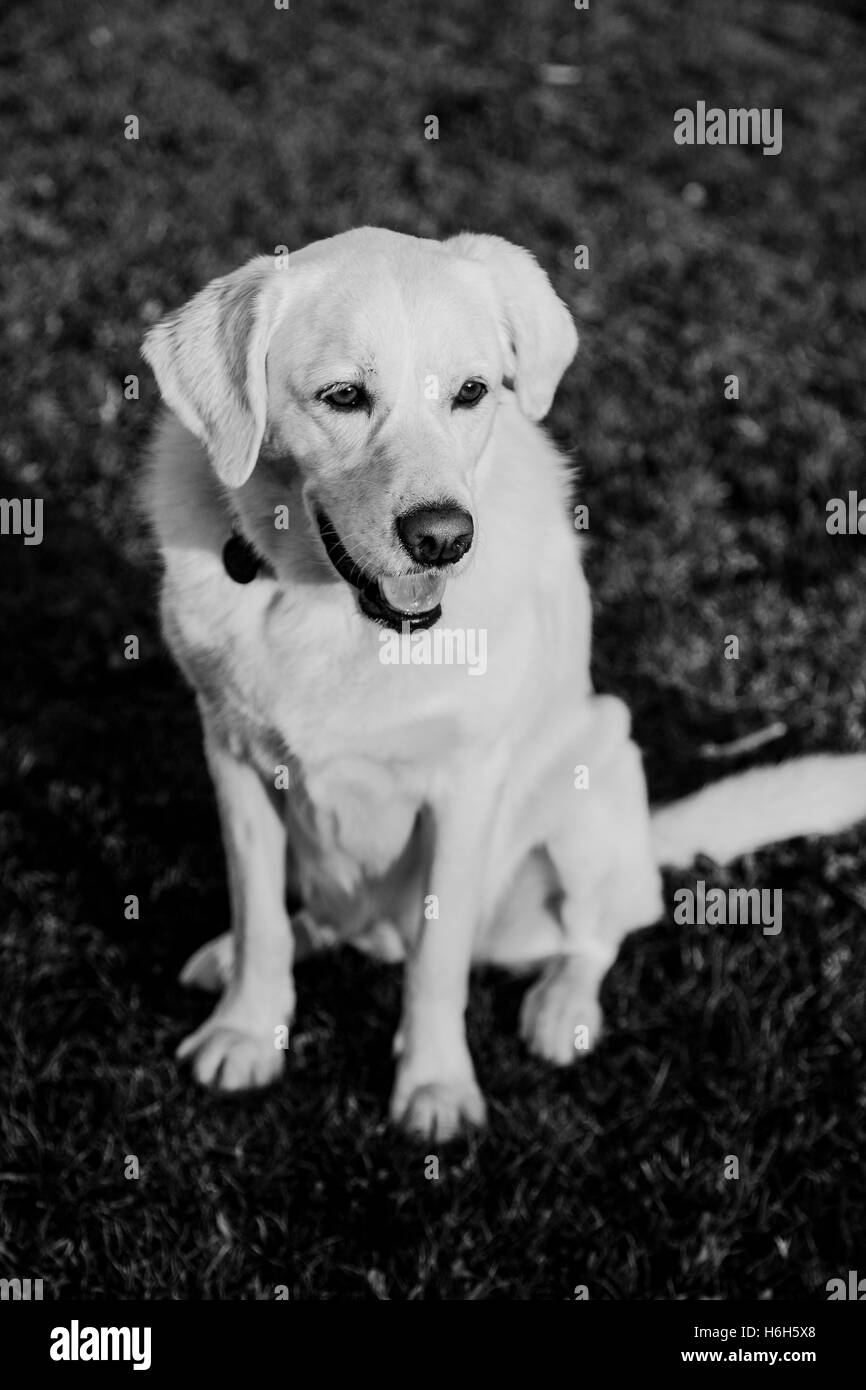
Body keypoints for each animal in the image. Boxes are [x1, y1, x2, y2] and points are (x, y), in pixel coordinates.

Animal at [142, 230, 866, 1139]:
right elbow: (259, 914)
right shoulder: (234, 758)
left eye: (471, 391)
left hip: (595, 769)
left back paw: (563, 1009)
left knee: (605, 929)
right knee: (321, 919)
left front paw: (434, 1085)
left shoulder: (464, 791)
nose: (443, 539)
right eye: (343, 396)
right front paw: (246, 1027)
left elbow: (439, 961)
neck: (326, 607)